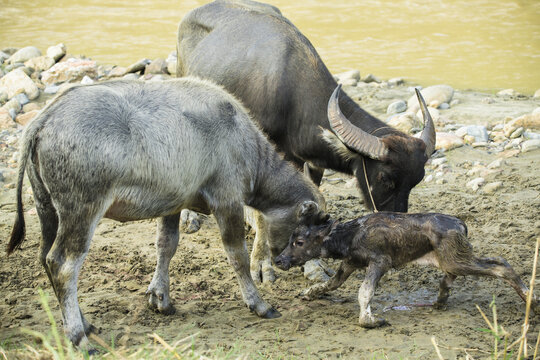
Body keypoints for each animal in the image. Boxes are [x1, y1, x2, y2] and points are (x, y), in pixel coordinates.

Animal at [6, 78, 324, 352]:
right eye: (305, 231)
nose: (290, 261)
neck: (241, 138)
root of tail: (45, 118)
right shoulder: (227, 200)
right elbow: (238, 257)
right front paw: (259, 304)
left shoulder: (173, 205)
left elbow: (166, 246)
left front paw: (161, 298)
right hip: (81, 212)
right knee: (62, 265)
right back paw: (79, 337)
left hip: (47, 209)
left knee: (44, 257)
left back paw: (84, 324)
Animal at [175, 0, 436, 282]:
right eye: (385, 178)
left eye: (416, 180)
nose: (398, 227)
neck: (292, 99)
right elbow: (264, 214)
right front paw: (261, 264)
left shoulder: (311, 161)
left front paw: (313, 264)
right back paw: (189, 216)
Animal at [276, 212, 536, 328]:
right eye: (290, 239)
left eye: (299, 242)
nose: (279, 260)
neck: (350, 236)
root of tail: (461, 224)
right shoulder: (349, 263)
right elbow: (329, 284)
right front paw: (308, 293)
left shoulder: (380, 262)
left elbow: (365, 292)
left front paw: (370, 320)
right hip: (450, 258)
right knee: (453, 276)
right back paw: (440, 300)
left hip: (457, 259)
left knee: (501, 264)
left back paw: (530, 298)